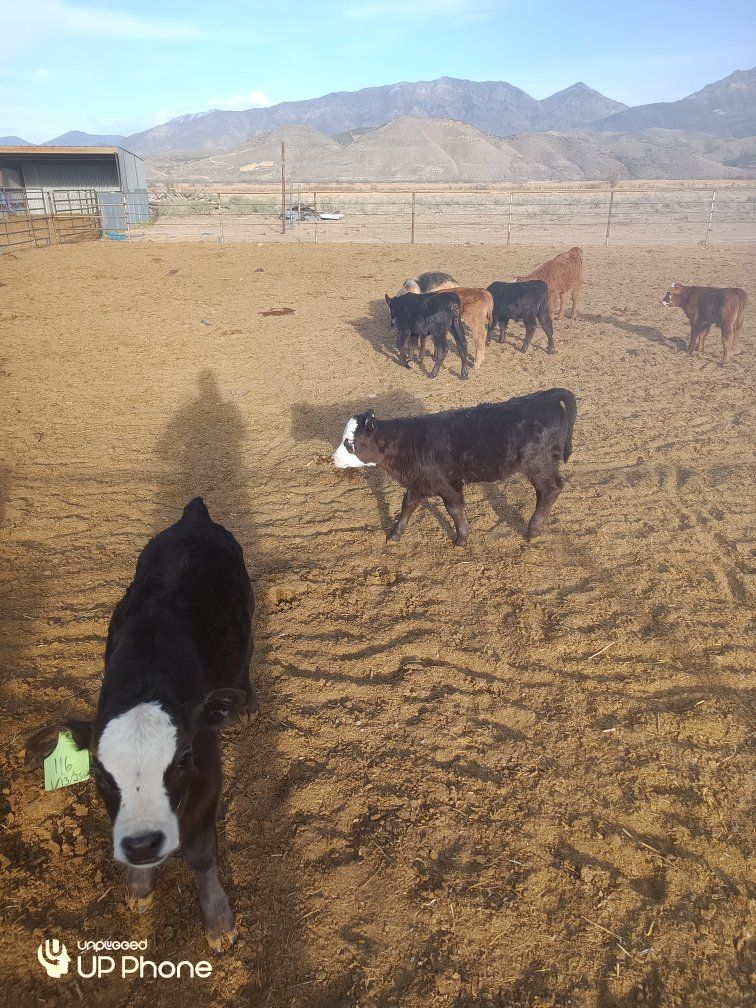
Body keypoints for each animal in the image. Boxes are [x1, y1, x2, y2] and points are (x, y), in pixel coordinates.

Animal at [25, 498, 256, 953]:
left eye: (181, 762)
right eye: (97, 773)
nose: (143, 844)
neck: (146, 676)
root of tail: (194, 515)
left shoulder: (207, 770)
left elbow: (201, 853)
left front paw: (218, 920)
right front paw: (138, 884)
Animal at [331, 388, 576, 546]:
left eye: (350, 442)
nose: (333, 459)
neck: (409, 443)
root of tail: (545, 396)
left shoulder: (449, 485)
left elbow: (454, 510)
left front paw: (461, 539)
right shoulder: (419, 482)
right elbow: (407, 505)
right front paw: (394, 535)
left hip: (539, 465)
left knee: (551, 489)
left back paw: (533, 530)